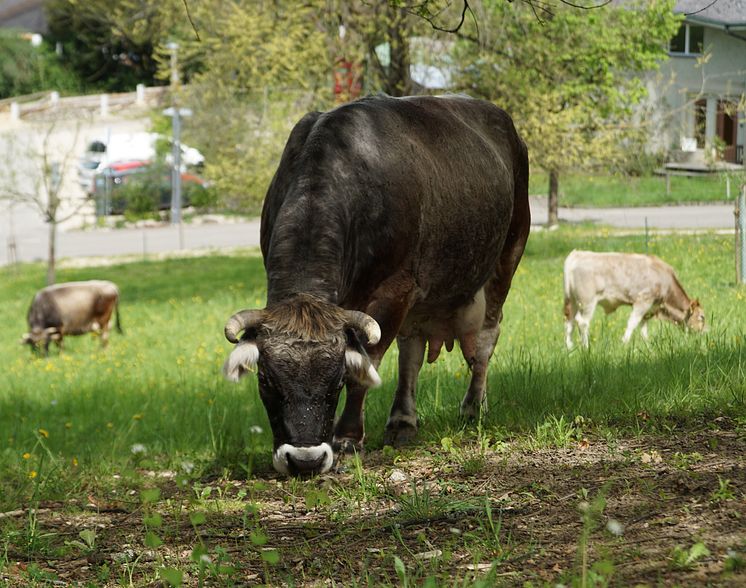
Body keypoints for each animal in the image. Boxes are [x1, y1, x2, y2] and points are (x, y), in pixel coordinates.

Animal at [221, 93, 528, 478]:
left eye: (337, 379)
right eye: (265, 380)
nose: (305, 460)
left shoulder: (393, 290)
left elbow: (367, 366)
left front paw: (348, 439)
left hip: (508, 253)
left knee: (486, 339)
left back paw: (473, 406)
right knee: (412, 351)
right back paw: (403, 421)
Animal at [564, 249, 704, 350]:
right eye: (702, 317)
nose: (705, 332)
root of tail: (577, 254)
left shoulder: (650, 308)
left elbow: (643, 328)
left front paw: (648, 347)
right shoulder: (643, 301)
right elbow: (632, 323)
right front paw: (624, 343)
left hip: (572, 300)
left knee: (569, 320)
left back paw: (569, 347)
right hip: (587, 301)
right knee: (582, 322)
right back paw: (586, 347)